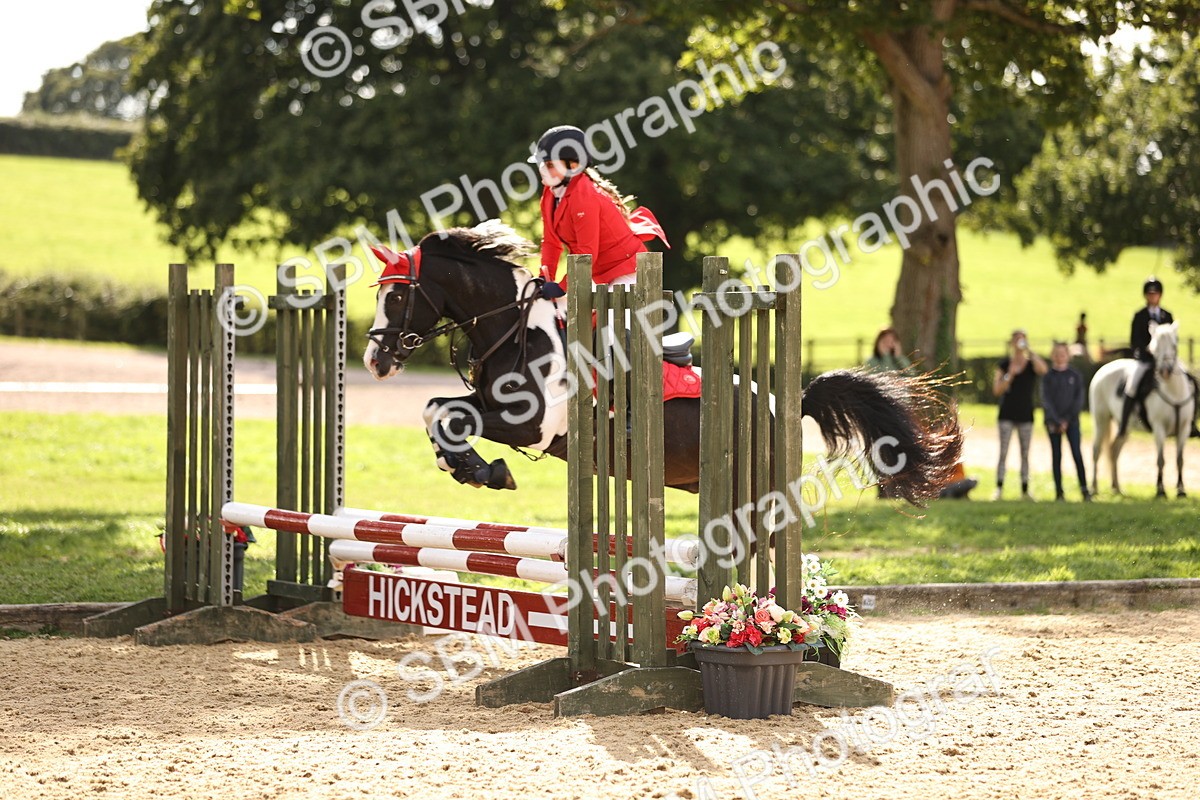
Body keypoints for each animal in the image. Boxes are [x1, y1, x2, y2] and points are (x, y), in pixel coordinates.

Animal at [362, 220, 963, 505]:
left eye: (398, 295)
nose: (374, 359)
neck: (514, 329)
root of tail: (786, 402)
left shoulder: (531, 426)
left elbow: (449, 415)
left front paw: (482, 469)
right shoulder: (486, 404)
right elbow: (437, 409)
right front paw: (468, 468)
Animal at [1089, 321, 1195, 498]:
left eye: (1174, 344)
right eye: (1154, 348)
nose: (1165, 371)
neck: (1173, 392)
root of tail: (1103, 368)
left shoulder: (1184, 429)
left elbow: (1180, 460)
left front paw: (1181, 490)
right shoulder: (1159, 428)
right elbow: (1161, 459)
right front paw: (1160, 490)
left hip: (1124, 427)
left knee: (1113, 450)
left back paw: (1116, 488)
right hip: (1101, 420)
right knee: (1097, 450)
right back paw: (1094, 488)